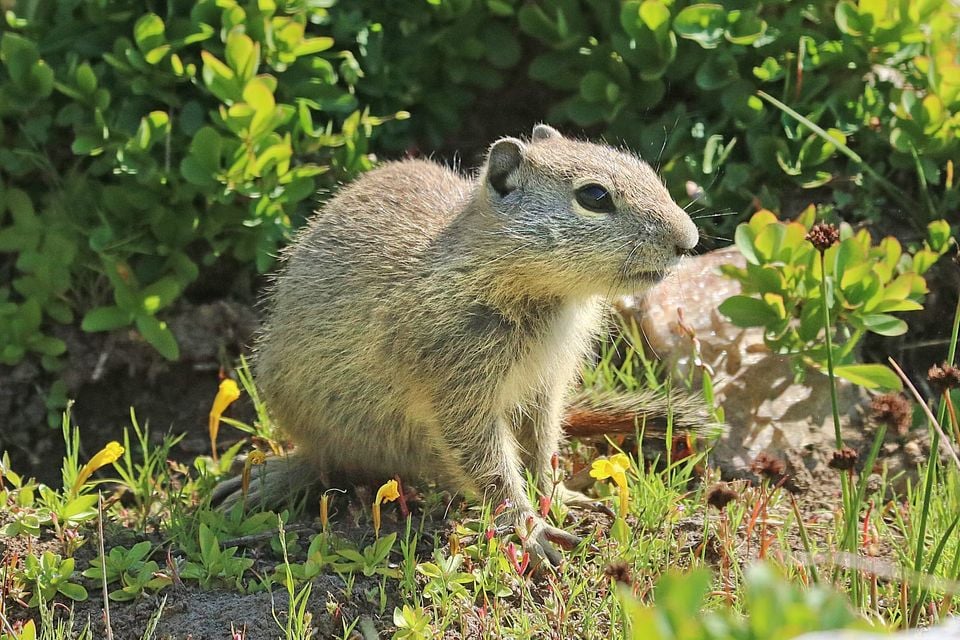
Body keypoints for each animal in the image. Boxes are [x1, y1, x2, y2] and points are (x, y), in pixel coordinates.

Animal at [216, 125, 710, 566]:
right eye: (594, 196)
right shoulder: (456, 382)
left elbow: (543, 444)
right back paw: (269, 478)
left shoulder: (546, 384)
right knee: (324, 458)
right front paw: (531, 530)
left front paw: (563, 495)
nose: (688, 240)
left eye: (645, 170)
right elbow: (488, 461)